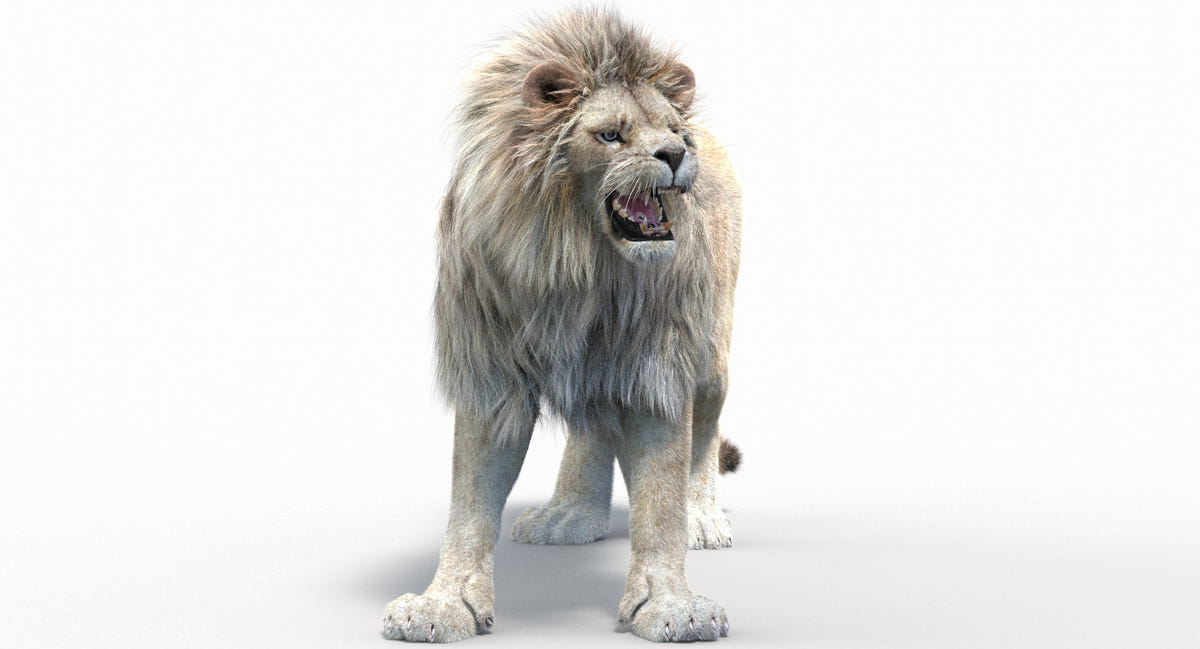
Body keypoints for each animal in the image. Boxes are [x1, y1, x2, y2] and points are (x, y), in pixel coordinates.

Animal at [383, 9, 742, 643]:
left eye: (674, 129)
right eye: (611, 135)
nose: (676, 153)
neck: (576, 266)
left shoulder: (658, 367)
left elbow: (661, 497)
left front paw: (672, 605)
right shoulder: (490, 368)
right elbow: (469, 499)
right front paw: (441, 605)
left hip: (712, 356)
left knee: (703, 433)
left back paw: (702, 516)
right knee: (592, 424)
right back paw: (570, 515)